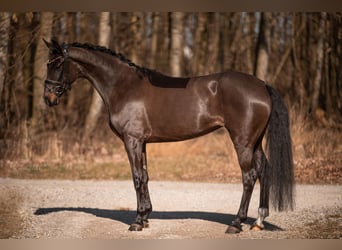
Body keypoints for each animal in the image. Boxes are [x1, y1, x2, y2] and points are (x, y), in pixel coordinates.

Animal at [42, 39, 294, 234]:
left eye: (57, 64)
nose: (48, 98)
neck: (123, 86)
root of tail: (261, 84)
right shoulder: (141, 142)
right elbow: (144, 177)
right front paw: (145, 217)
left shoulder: (132, 141)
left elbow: (136, 178)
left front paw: (136, 222)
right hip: (255, 141)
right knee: (264, 170)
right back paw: (258, 221)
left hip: (243, 142)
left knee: (249, 176)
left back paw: (236, 223)